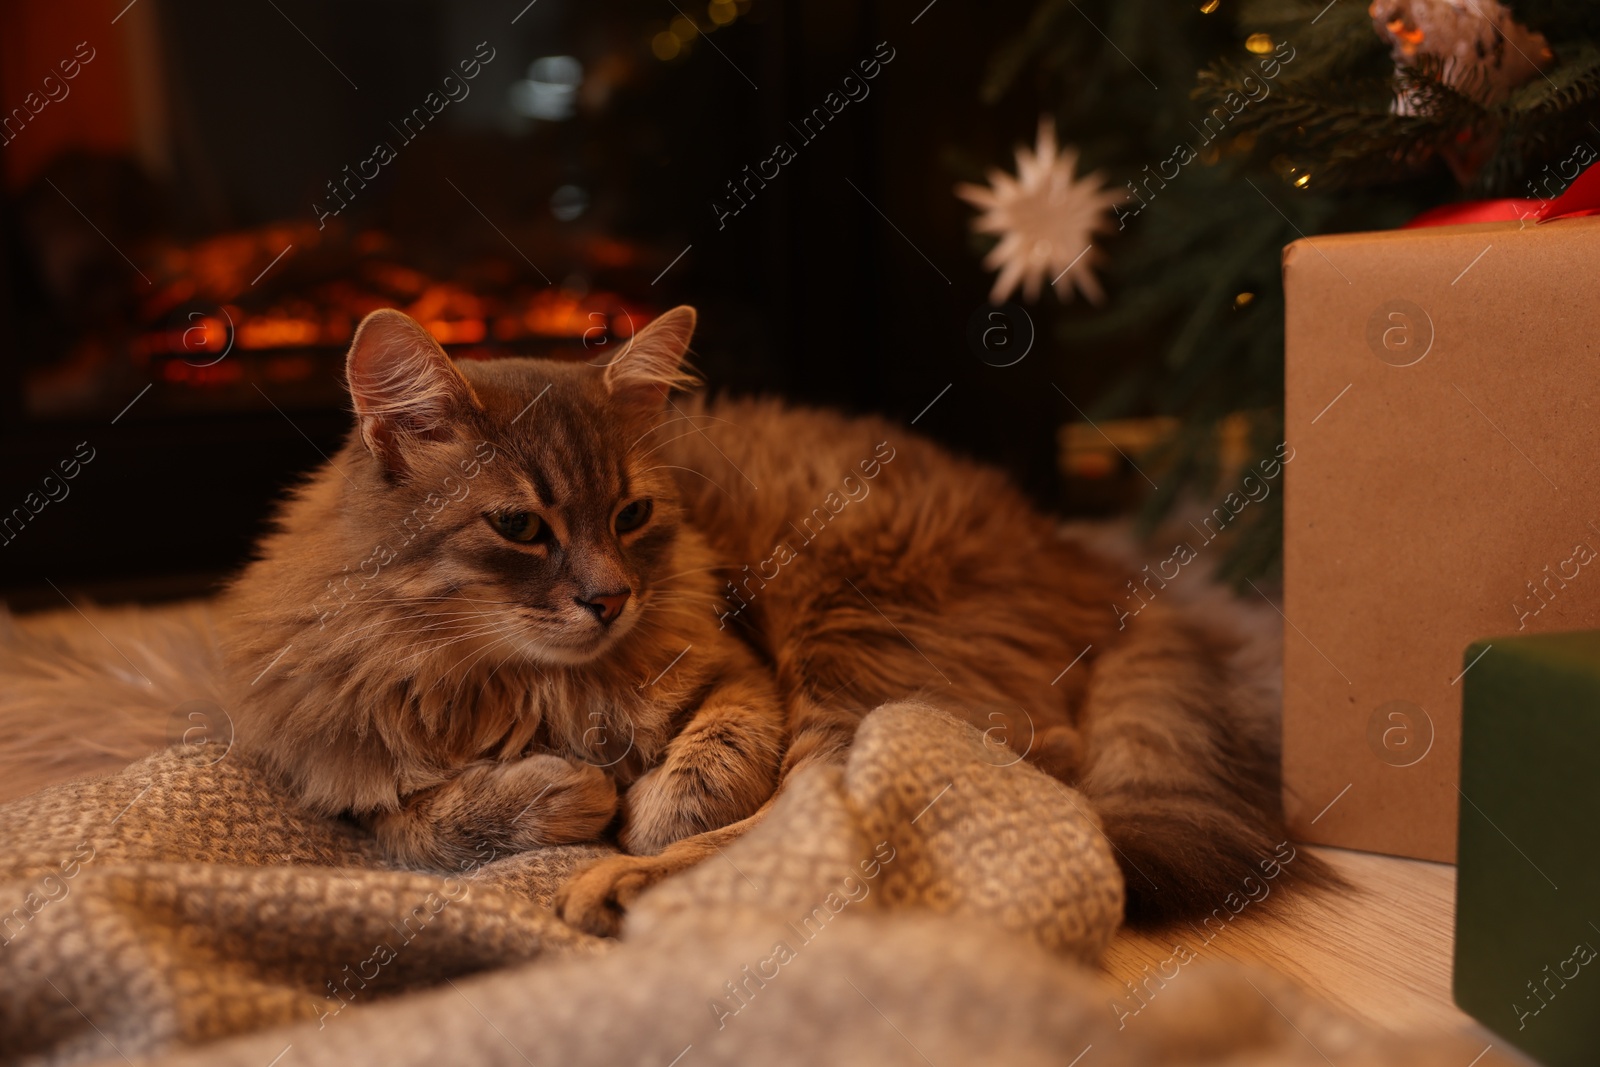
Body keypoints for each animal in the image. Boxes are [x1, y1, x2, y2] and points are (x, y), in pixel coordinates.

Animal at [225, 303, 1324, 940]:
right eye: (519, 526)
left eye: (631, 515)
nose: (609, 597)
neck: (535, 684)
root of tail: (1079, 552)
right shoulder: (359, 791)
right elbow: (450, 817)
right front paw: (567, 788)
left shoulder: (740, 671)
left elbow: (704, 773)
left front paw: (637, 808)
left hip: (847, 624)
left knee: (897, 793)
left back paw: (625, 888)